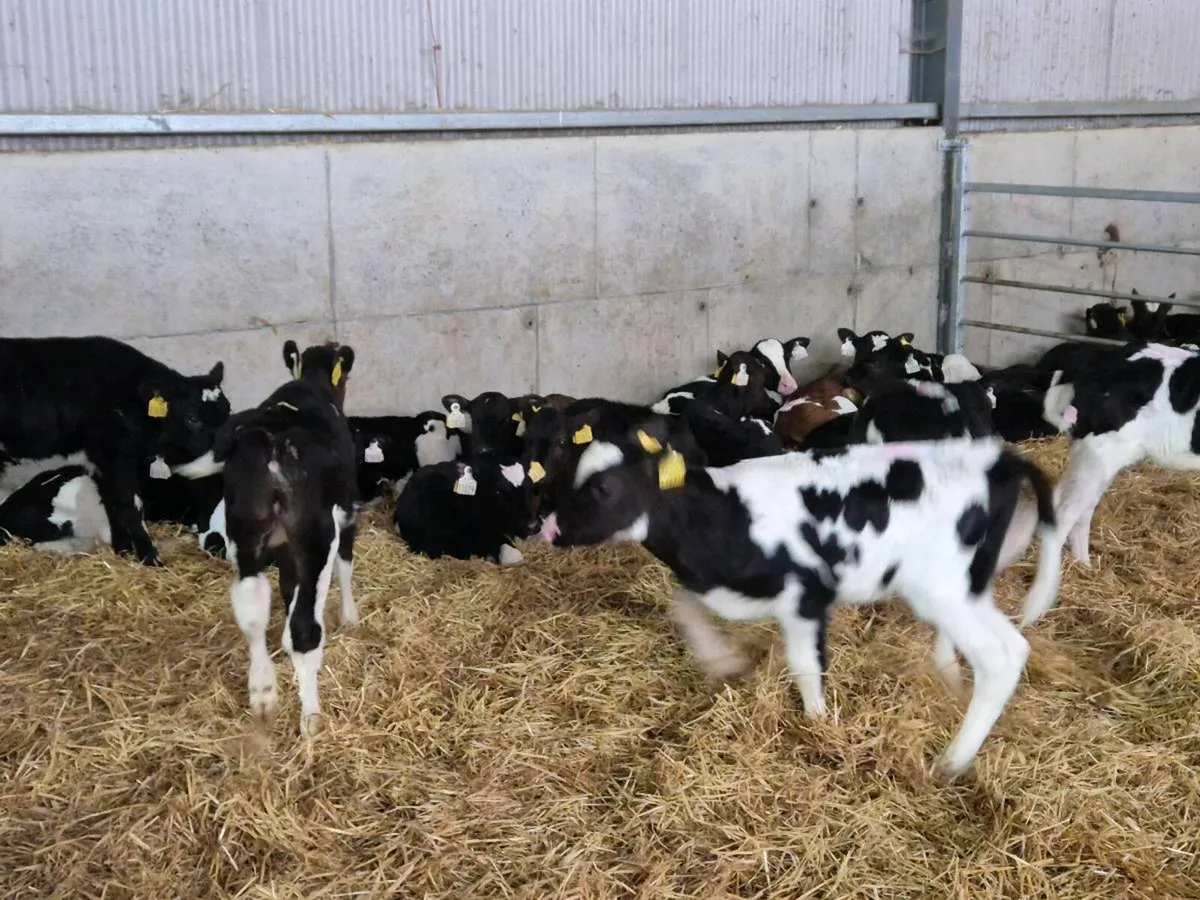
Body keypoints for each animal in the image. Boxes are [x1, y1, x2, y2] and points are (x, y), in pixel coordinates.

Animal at [0, 336, 230, 565]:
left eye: (228, 412)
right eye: (192, 417)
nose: (225, 451)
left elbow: (112, 502)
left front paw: (125, 549)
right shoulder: (113, 453)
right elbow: (130, 503)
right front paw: (149, 558)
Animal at [175, 340, 359, 735]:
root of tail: (271, 435)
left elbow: (286, 592)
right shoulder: (348, 511)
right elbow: (345, 567)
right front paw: (351, 617)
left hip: (244, 530)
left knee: (251, 606)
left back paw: (262, 691)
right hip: (315, 534)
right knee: (304, 629)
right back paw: (311, 716)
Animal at [540, 425, 1061, 779]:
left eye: (604, 487)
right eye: (565, 475)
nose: (549, 529)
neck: (723, 516)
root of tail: (999, 458)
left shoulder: (807, 594)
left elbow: (806, 666)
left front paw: (818, 726)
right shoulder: (721, 585)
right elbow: (683, 608)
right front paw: (723, 659)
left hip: (941, 587)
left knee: (1001, 656)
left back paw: (951, 761)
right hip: (964, 586)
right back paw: (948, 677)